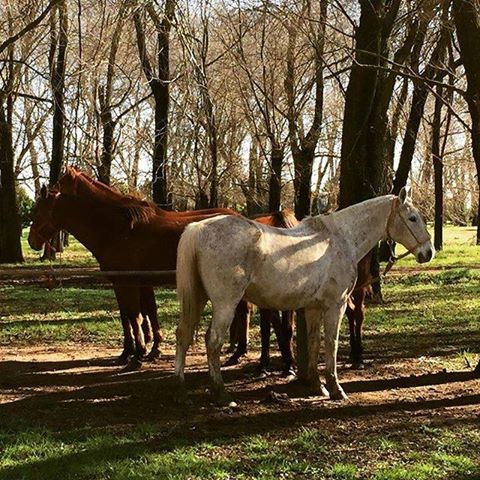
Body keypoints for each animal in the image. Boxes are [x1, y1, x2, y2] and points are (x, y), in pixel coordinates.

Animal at [28, 186, 236, 366]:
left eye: (37, 211)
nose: (32, 241)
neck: (116, 232)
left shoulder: (128, 283)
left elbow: (135, 318)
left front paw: (138, 354)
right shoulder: (122, 284)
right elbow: (129, 317)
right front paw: (129, 352)